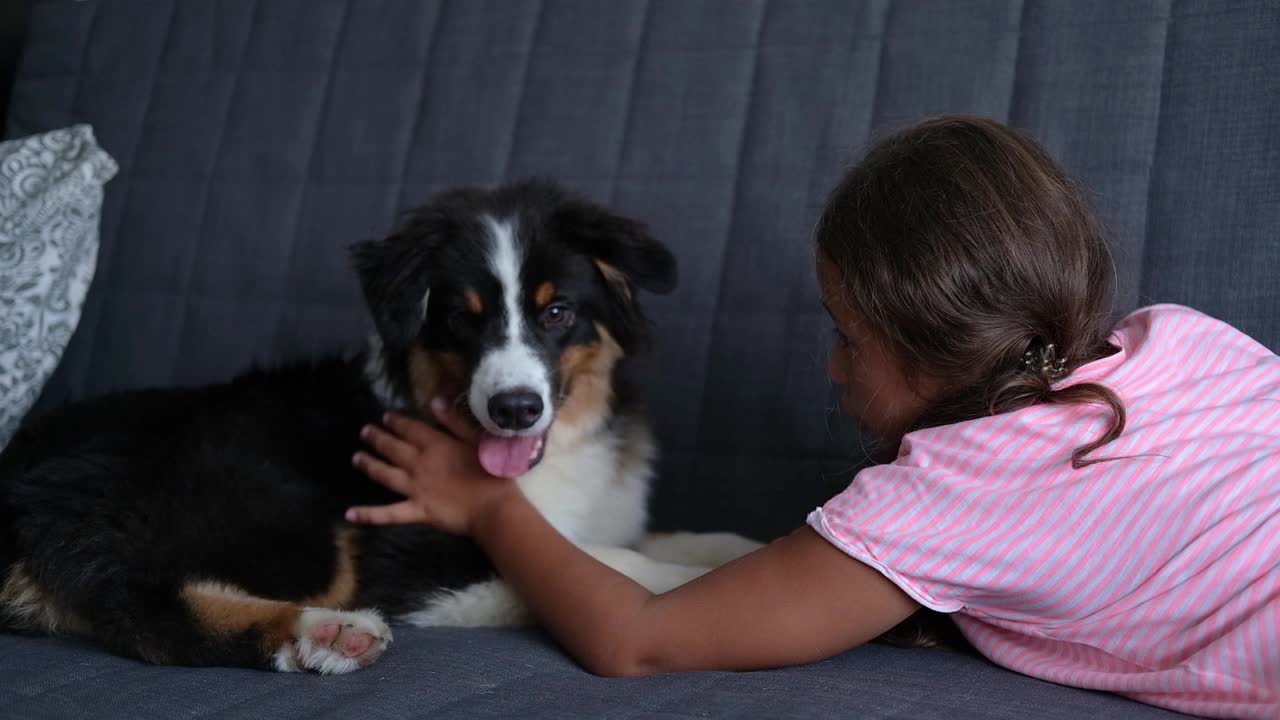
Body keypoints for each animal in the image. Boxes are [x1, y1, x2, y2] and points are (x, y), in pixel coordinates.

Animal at [0, 179, 757, 671]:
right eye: (460, 318)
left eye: (556, 311)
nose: (515, 408)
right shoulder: (412, 561)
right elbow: (614, 564)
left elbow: (668, 539)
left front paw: (745, 546)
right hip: (270, 508)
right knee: (151, 610)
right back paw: (323, 634)